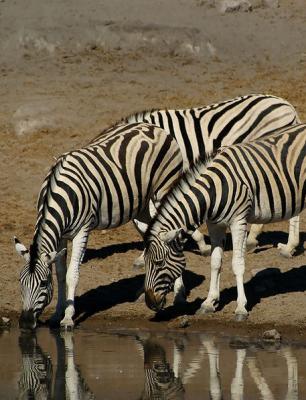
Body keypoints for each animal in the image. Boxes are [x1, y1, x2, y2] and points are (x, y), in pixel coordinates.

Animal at [14, 123, 183, 330]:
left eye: (43, 284)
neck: (59, 194)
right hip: (141, 207)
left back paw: (179, 293)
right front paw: (56, 314)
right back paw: (144, 291)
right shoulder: (61, 235)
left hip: (162, 191)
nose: (25, 323)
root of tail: (153, 127)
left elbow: (72, 275)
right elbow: (61, 274)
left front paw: (68, 317)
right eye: (20, 281)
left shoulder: (82, 230)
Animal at [140, 123, 306, 320]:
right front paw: (209, 302)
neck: (212, 191)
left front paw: (241, 307)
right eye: (145, 262)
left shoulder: (239, 222)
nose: (150, 303)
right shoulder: (215, 225)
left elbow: (237, 264)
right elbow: (215, 262)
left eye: (158, 263)